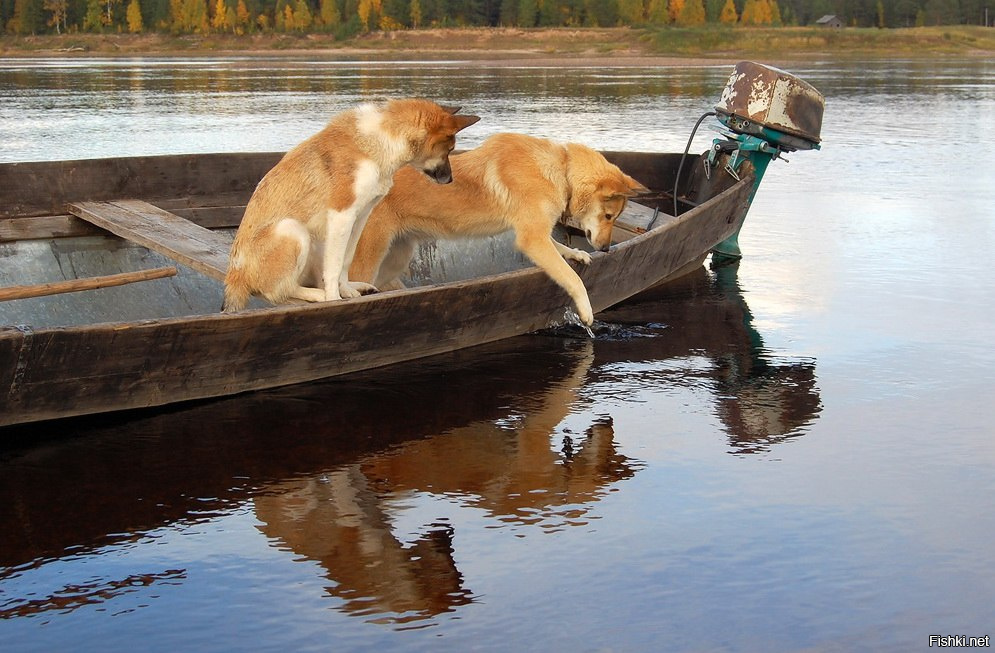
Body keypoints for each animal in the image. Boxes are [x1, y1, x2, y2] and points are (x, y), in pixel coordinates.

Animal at [224, 98, 480, 312]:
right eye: (449, 149)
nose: (450, 180)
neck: (381, 142)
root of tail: (235, 278)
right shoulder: (342, 214)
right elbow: (335, 266)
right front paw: (334, 300)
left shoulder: (360, 215)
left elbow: (346, 260)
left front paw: (346, 291)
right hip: (292, 230)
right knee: (277, 291)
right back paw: (318, 295)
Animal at [354, 133, 648, 326]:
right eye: (608, 215)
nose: (607, 249)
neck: (562, 170)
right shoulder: (532, 239)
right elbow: (572, 279)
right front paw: (586, 311)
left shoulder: (534, 232)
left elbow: (558, 246)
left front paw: (575, 253)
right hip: (369, 259)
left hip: (394, 258)